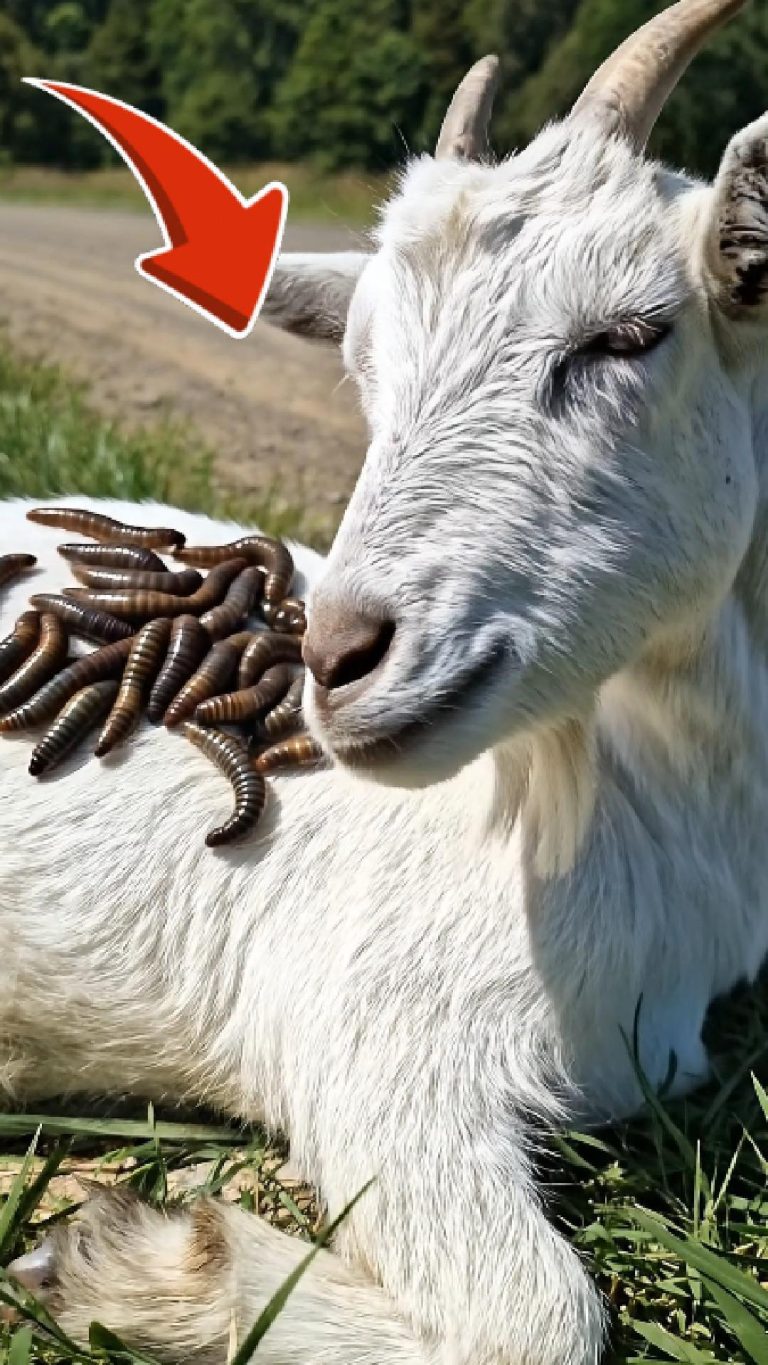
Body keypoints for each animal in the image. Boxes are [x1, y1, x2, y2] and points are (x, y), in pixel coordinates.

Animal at [2, 0, 768, 1359]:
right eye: (365, 366)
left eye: (629, 334)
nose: (338, 655)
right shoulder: (372, 1037)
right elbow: (539, 1315)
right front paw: (121, 1256)